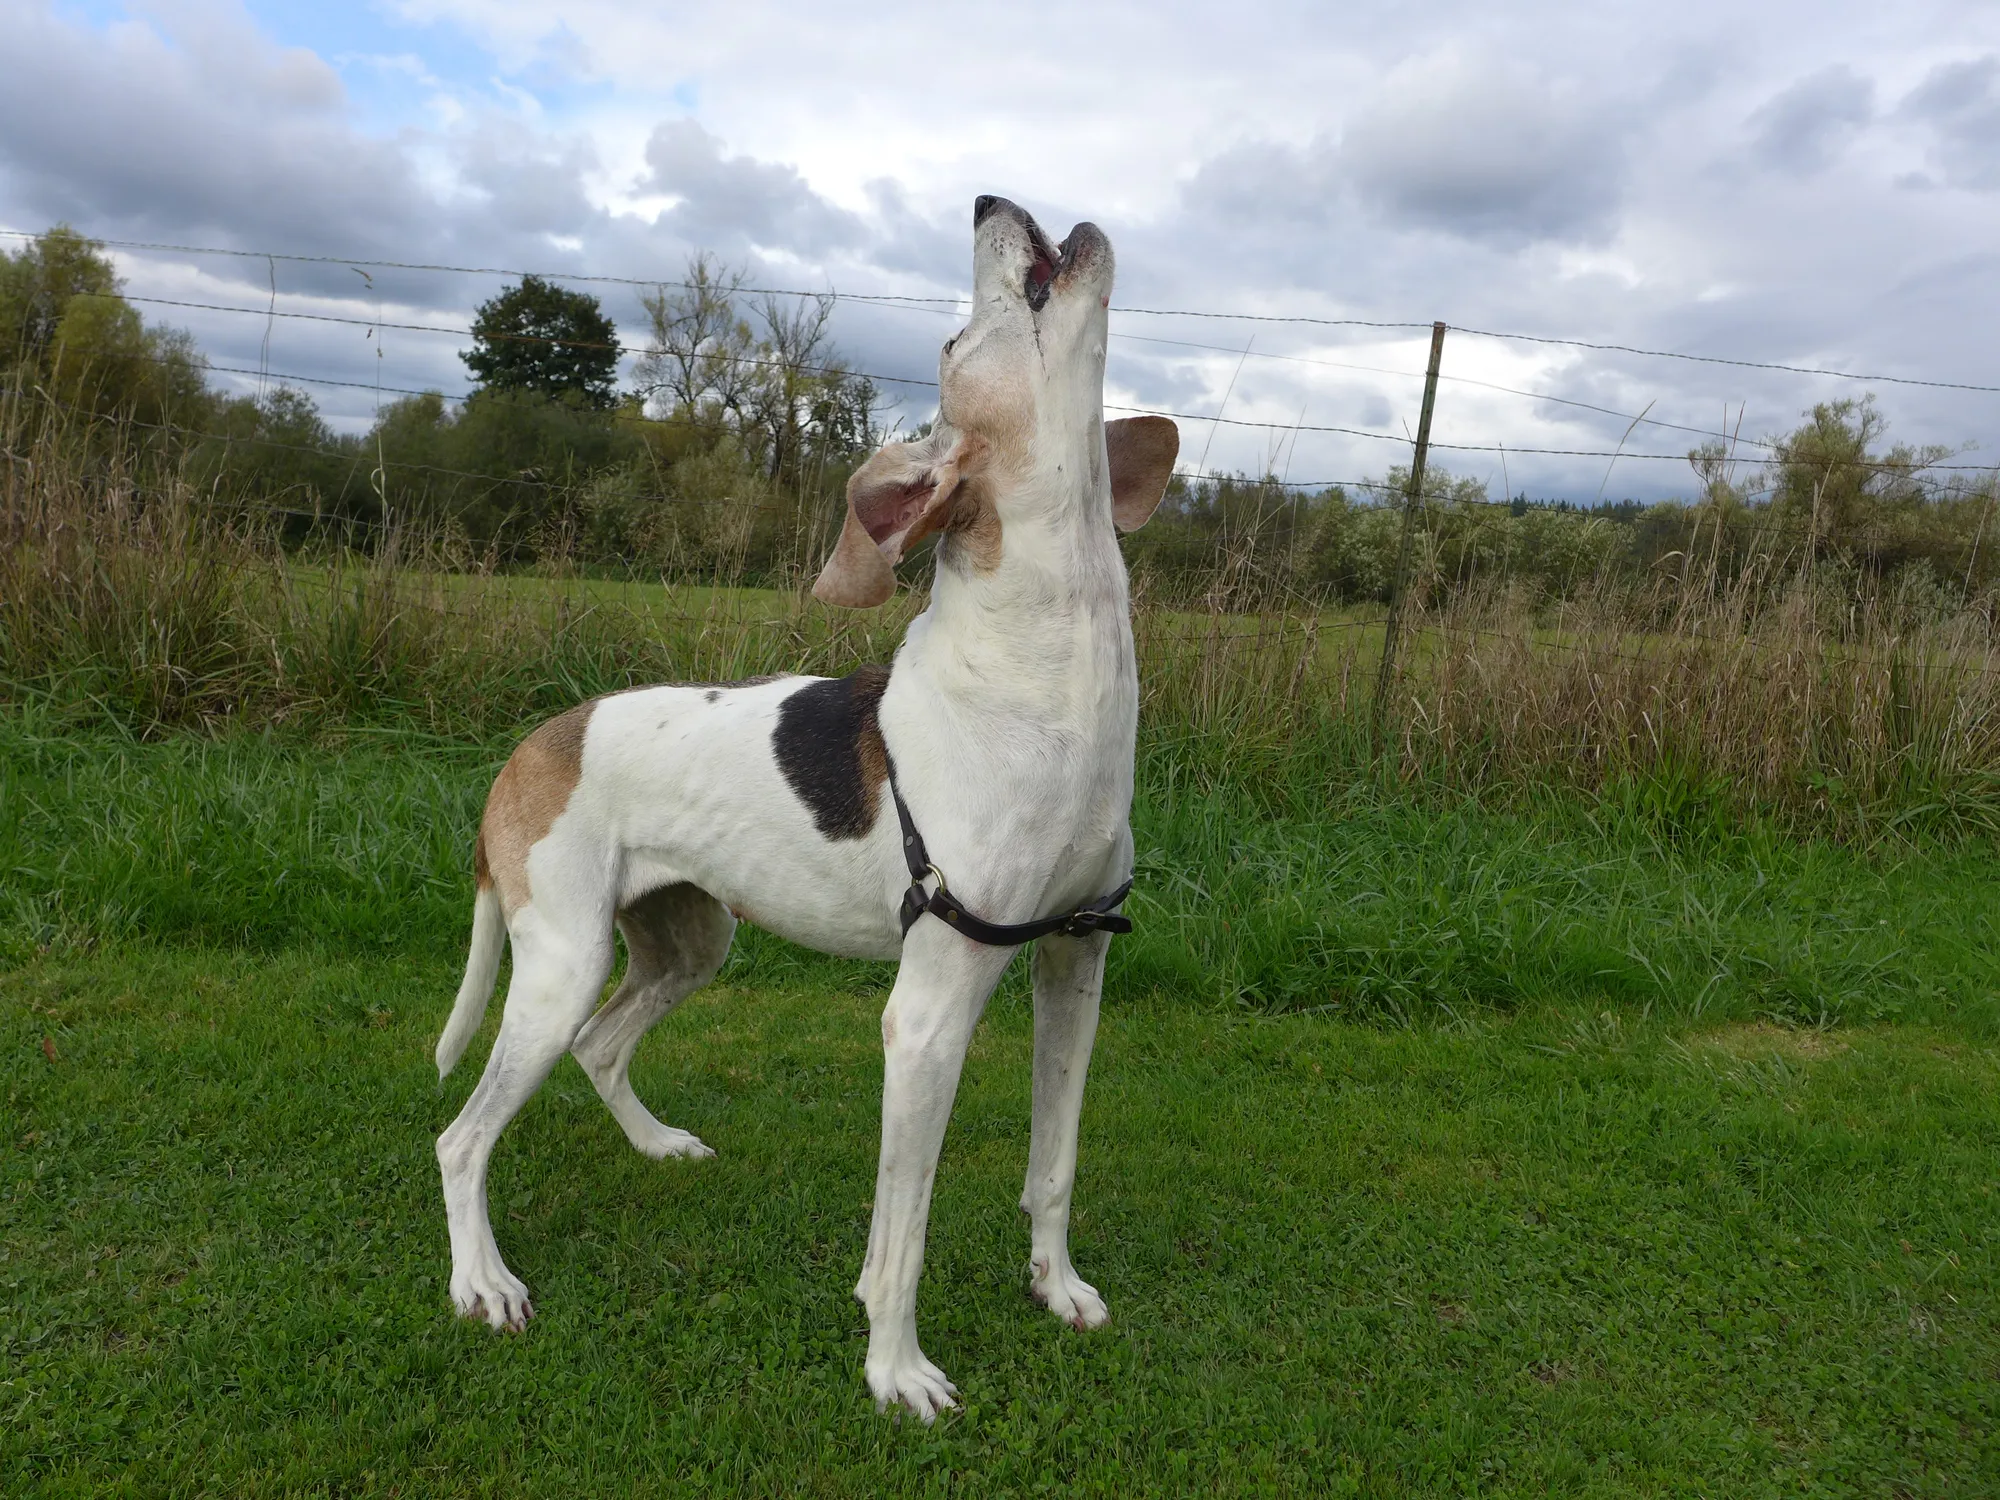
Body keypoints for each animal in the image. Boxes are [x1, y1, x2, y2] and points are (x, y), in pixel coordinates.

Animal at [426, 197, 1168, 1424]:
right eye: (954, 344)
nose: (989, 203)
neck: (1051, 672)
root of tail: (532, 745)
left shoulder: (1075, 966)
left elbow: (1052, 1165)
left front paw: (1054, 1286)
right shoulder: (927, 1015)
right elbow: (903, 1233)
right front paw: (895, 1370)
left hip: (688, 941)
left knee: (597, 1047)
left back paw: (657, 1146)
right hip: (560, 963)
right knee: (462, 1137)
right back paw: (483, 1281)